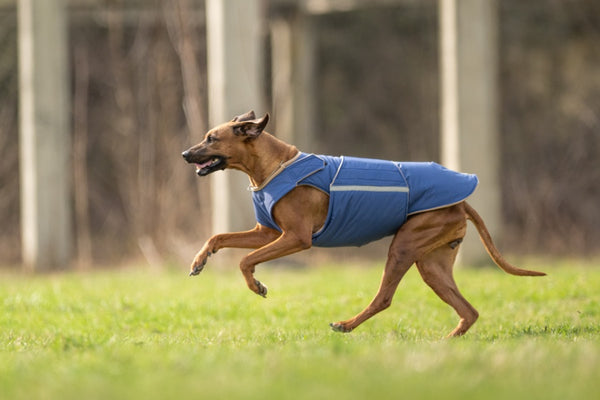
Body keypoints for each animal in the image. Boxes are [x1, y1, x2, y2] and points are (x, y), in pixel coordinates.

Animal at [180, 110, 548, 338]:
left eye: (212, 138)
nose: (185, 154)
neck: (273, 166)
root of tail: (462, 200)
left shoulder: (296, 238)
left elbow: (245, 260)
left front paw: (257, 285)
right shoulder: (267, 233)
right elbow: (219, 236)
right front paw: (199, 261)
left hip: (404, 246)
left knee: (384, 298)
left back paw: (346, 325)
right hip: (433, 263)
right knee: (468, 311)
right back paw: (447, 341)